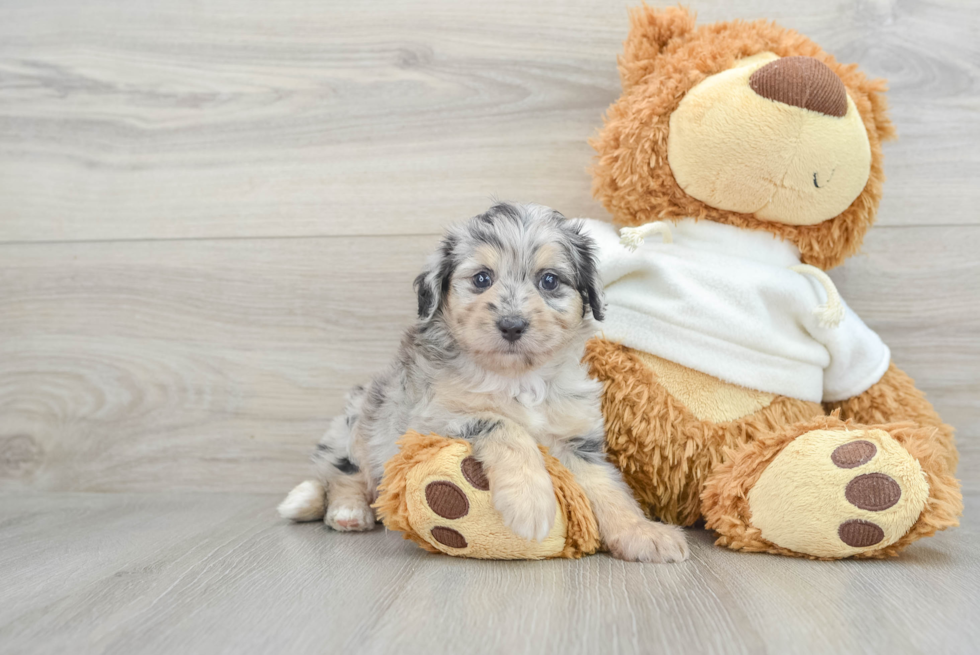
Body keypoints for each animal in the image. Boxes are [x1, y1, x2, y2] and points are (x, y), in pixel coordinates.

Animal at [278, 201, 688, 564]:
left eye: (549, 280)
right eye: (481, 279)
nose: (512, 325)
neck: (518, 377)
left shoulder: (576, 439)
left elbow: (608, 487)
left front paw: (642, 533)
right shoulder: (429, 421)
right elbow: (504, 425)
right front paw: (530, 501)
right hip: (354, 422)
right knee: (340, 473)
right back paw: (344, 510)